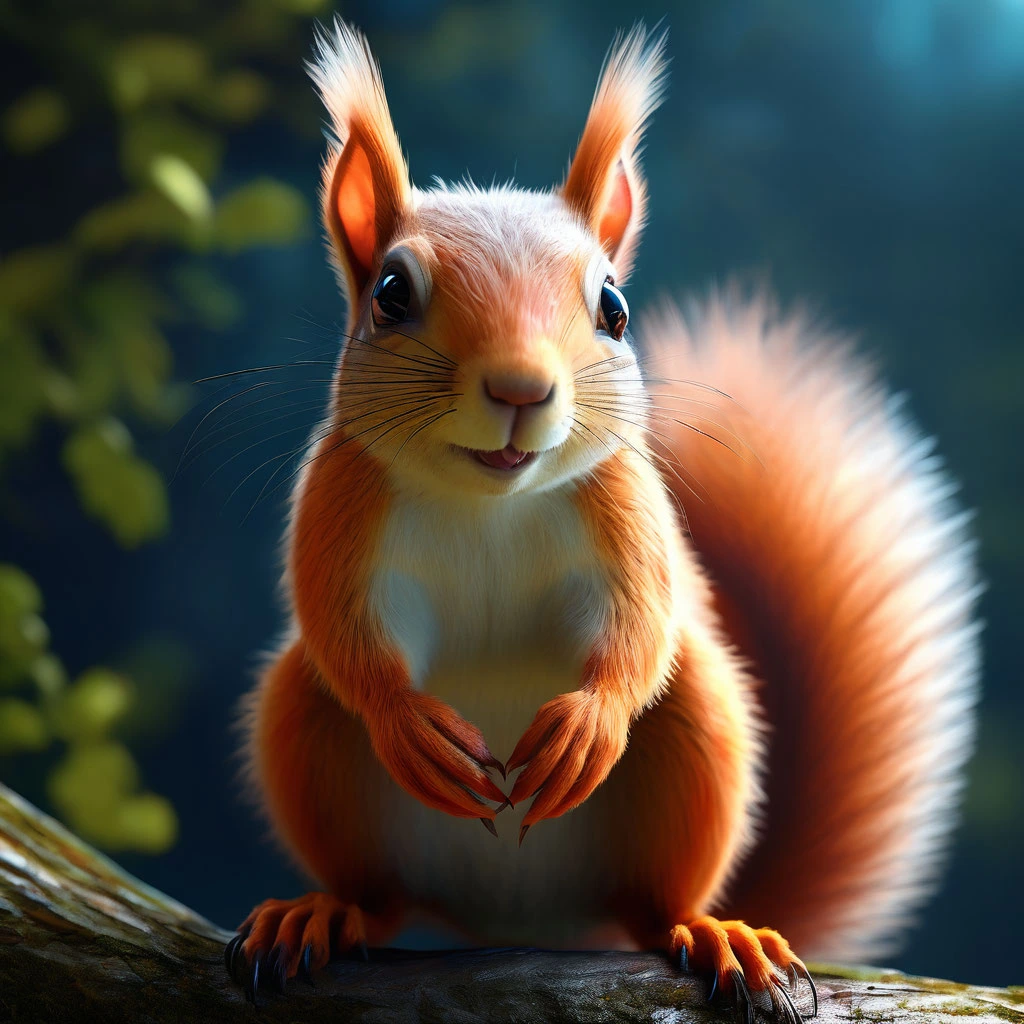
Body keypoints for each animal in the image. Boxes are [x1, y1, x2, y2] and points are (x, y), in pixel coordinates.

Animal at [225, 21, 980, 1021]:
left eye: (614, 308)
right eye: (389, 293)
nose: (520, 387)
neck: (490, 502)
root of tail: (513, 921)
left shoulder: (625, 508)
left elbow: (640, 624)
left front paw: (589, 722)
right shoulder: (341, 503)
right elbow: (342, 633)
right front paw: (406, 723)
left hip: (699, 733)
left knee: (656, 900)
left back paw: (714, 930)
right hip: (304, 729)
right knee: (375, 886)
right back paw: (321, 913)